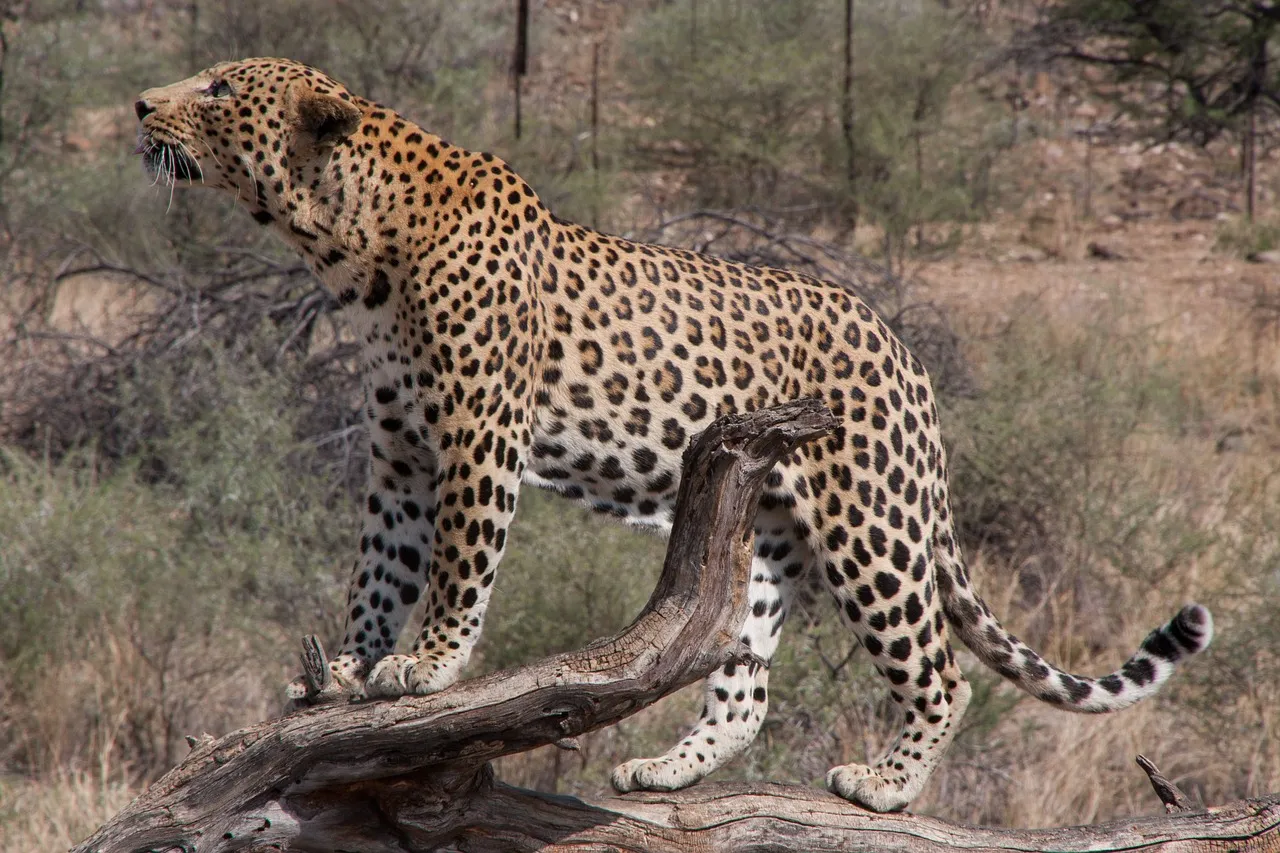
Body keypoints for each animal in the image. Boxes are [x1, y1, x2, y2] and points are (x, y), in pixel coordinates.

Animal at [134, 58, 1214, 813]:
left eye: (219, 86)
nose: (141, 105)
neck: (345, 245)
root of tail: (906, 354)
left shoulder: (477, 434)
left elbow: (455, 565)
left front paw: (426, 665)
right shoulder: (400, 450)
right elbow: (379, 570)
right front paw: (351, 671)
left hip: (872, 523)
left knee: (940, 669)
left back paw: (886, 782)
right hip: (760, 532)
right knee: (744, 687)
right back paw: (664, 767)